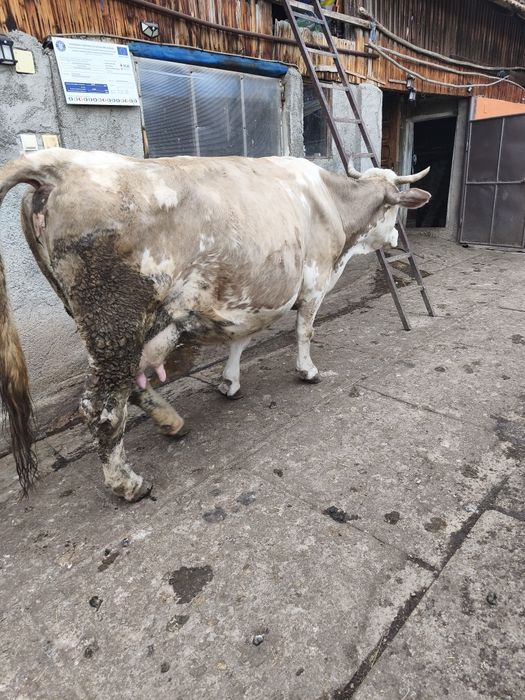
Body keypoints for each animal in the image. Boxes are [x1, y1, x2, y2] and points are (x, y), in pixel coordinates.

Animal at [0, 148, 430, 501]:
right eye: (393, 210)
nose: (396, 237)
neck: (332, 203)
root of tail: (60, 164)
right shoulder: (314, 283)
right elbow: (304, 331)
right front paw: (307, 371)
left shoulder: (248, 297)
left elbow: (240, 339)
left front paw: (229, 381)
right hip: (115, 319)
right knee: (101, 406)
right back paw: (128, 483)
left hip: (105, 324)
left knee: (130, 387)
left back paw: (171, 422)